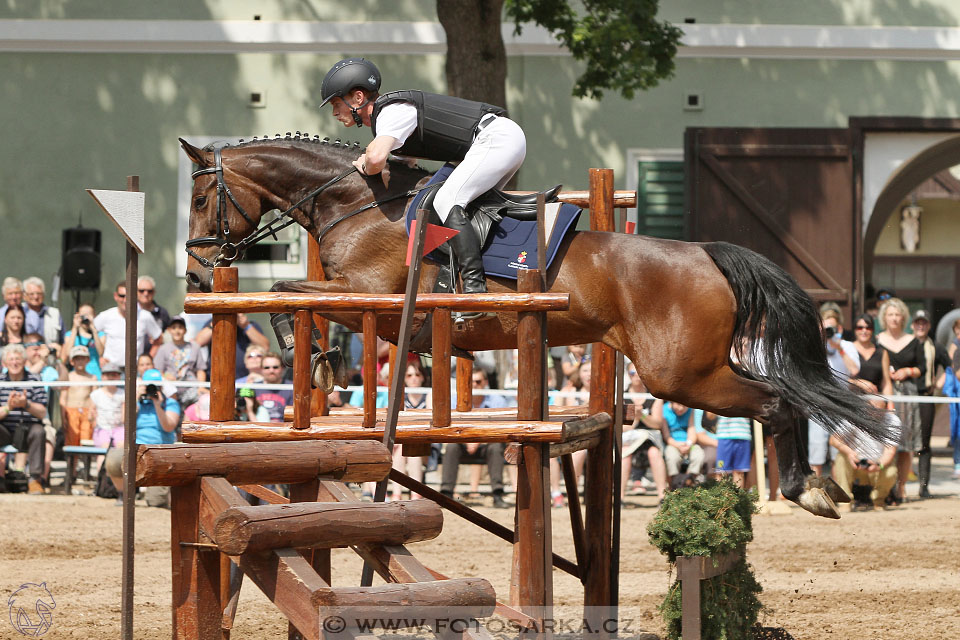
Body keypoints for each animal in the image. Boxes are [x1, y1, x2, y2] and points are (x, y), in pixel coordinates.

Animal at [182, 138, 900, 516]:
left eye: (200, 197)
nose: (194, 272)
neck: (354, 202)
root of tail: (704, 252)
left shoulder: (372, 298)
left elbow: (284, 294)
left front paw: (317, 362)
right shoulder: (362, 302)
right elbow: (293, 296)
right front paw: (325, 365)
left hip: (680, 374)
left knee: (778, 401)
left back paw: (807, 489)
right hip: (695, 368)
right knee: (784, 397)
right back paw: (817, 486)